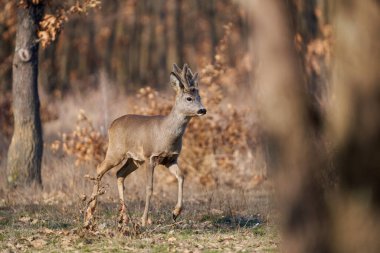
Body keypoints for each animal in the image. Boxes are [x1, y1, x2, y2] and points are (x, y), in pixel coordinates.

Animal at [84, 62, 206, 227]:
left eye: (199, 97)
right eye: (188, 98)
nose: (203, 110)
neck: (166, 134)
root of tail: (112, 125)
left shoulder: (170, 159)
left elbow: (181, 176)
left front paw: (175, 212)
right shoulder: (150, 156)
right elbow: (149, 188)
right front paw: (144, 219)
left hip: (134, 159)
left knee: (120, 173)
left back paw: (124, 217)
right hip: (115, 151)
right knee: (99, 168)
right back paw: (90, 213)